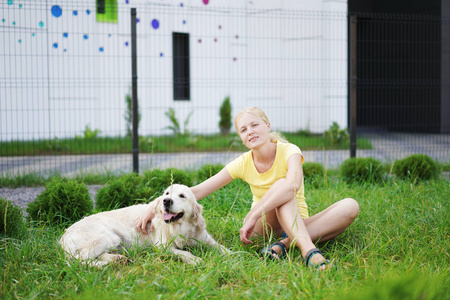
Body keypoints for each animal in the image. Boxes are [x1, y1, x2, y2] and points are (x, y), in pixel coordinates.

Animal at [59, 184, 229, 266]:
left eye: (182, 196)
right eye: (167, 193)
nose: (166, 201)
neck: (180, 228)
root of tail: (63, 236)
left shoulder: (206, 239)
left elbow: (222, 248)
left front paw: (233, 256)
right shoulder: (163, 247)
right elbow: (184, 253)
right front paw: (196, 260)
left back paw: (117, 259)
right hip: (107, 238)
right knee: (78, 260)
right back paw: (104, 264)